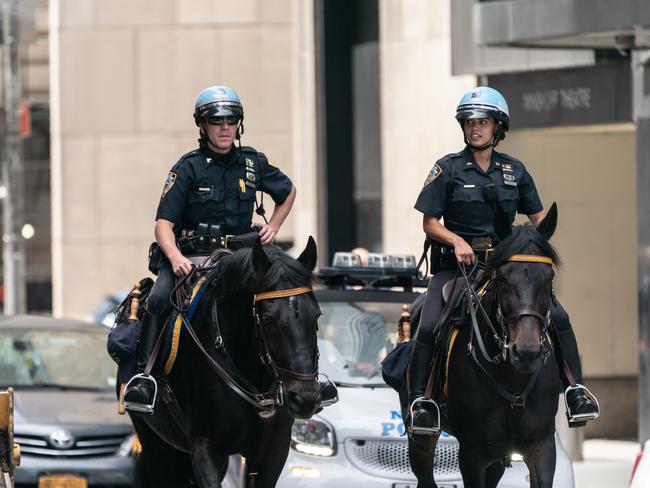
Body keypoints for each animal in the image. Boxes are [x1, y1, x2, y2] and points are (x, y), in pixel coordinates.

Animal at [128, 238, 318, 486]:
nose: (304, 399)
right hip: (154, 443)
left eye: (316, 315)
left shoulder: (273, 453)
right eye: (268, 320)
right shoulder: (205, 449)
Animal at [404, 206, 560, 488]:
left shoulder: (541, 446)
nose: (527, 353)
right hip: (422, 439)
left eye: (549, 277)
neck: (513, 379)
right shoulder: (472, 452)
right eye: (503, 278)